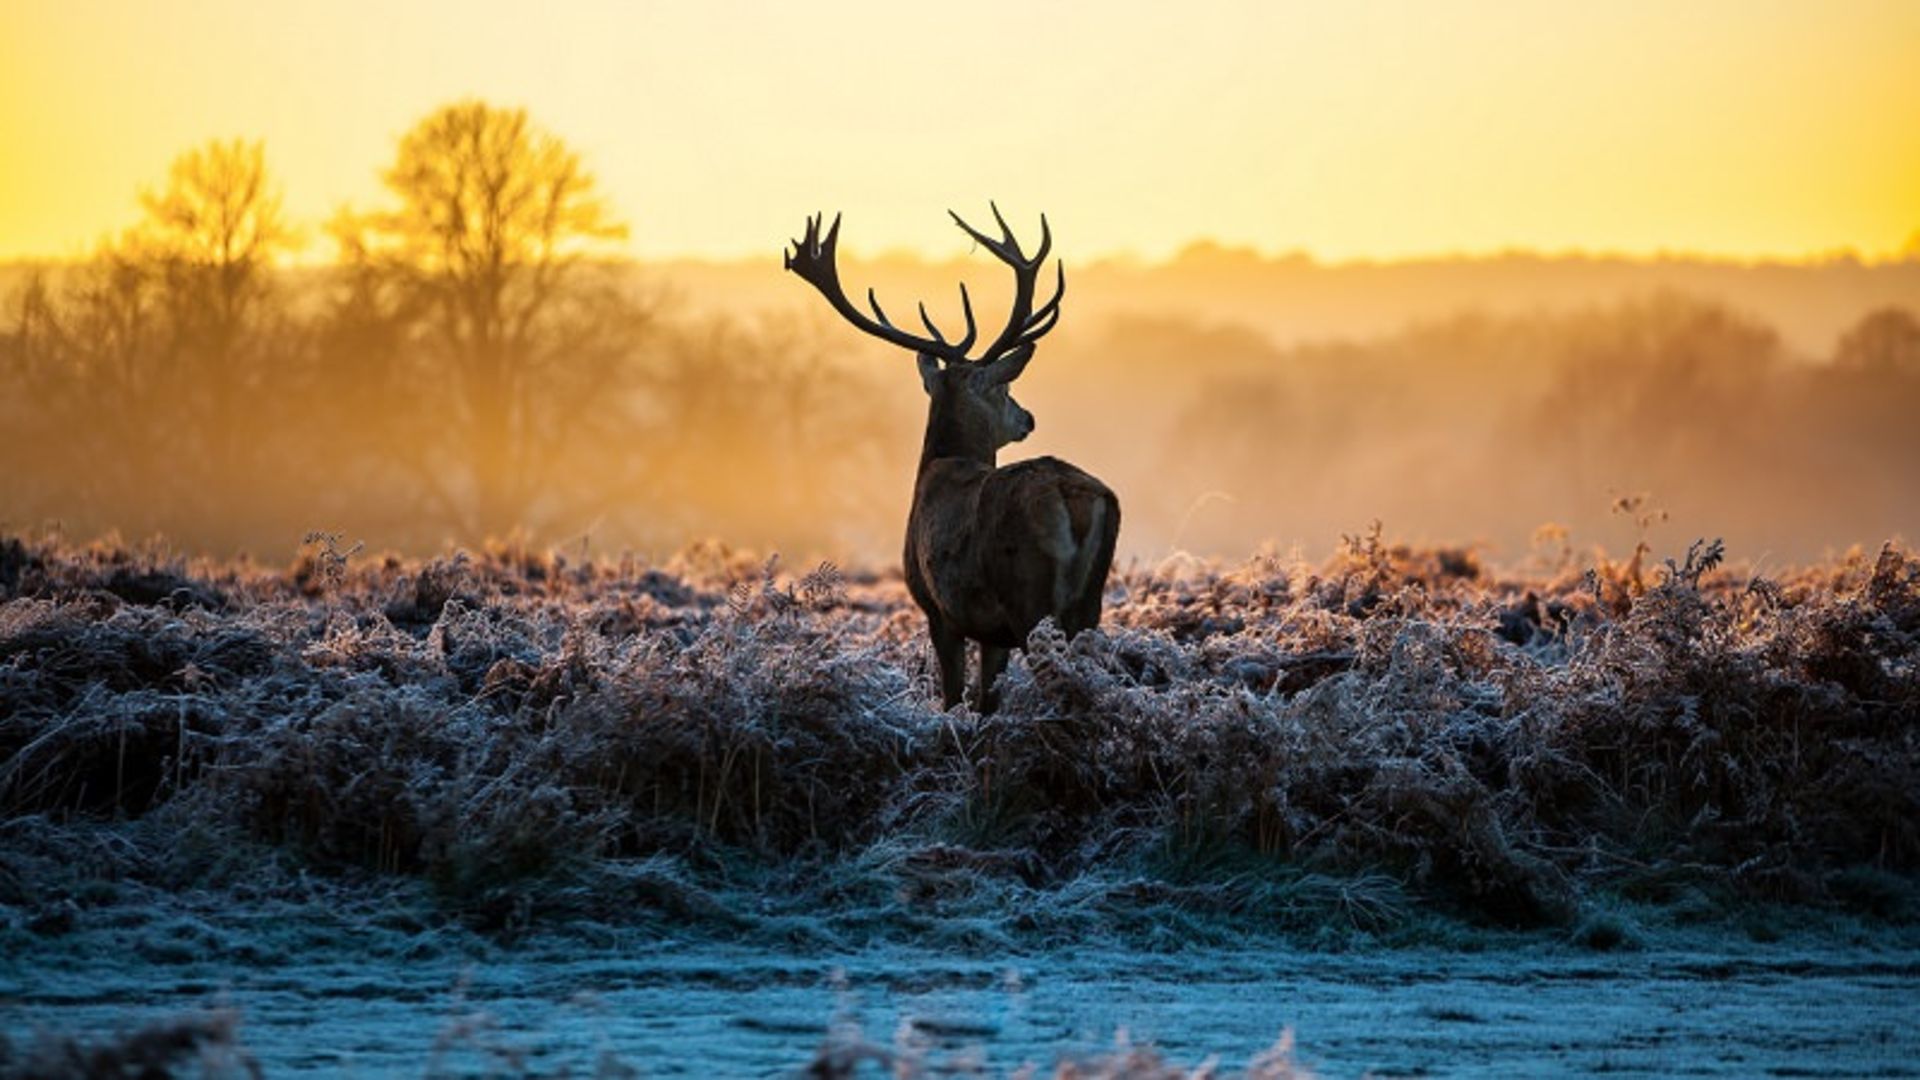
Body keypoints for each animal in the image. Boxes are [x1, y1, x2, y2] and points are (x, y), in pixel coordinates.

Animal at [783, 206, 1121, 714]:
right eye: (1004, 388)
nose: (1027, 418)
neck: (939, 466)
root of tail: (1072, 495)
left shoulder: (938, 609)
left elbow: (953, 698)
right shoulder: (990, 631)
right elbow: (986, 700)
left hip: (1028, 596)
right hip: (1088, 604)